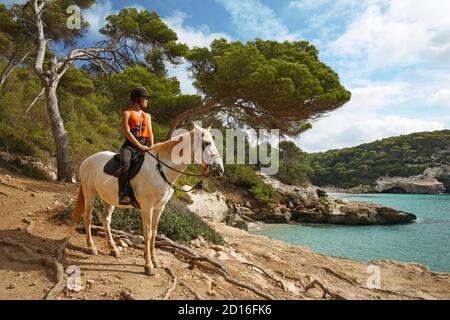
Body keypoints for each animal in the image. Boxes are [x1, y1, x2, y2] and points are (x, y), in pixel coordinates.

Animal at [67, 122, 223, 276]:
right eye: (206, 143)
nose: (220, 169)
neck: (160, 170)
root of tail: (87, 160)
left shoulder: (159, 208)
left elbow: (154, 233)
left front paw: (155, 261)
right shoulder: (147, 207)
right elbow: (147, 234)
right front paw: (148, 265)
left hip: (109, 199)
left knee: (106, 220)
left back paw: (113, 249)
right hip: (89, 193)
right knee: (88, 218)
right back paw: (91, 247)